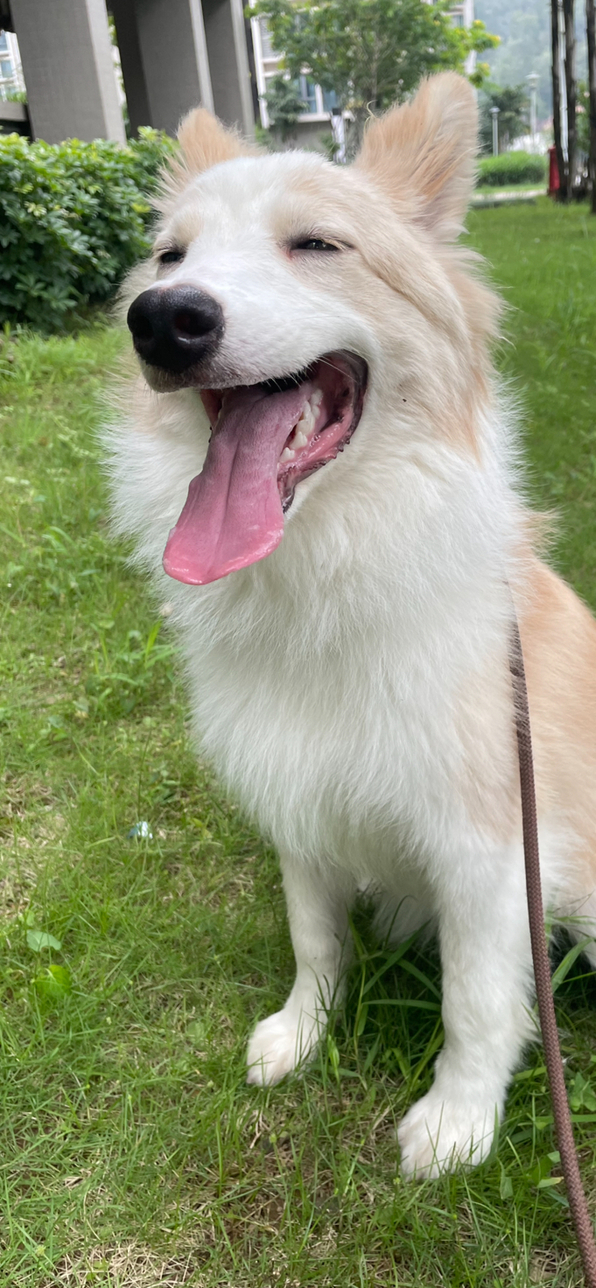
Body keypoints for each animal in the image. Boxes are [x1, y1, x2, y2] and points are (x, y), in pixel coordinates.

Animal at [105, 73, 596, 1178]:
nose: (163, 321)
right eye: (170, 258)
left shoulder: (488, 846)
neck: (323, 576)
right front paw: (302, 1031)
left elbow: (474, 999)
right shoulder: (298, 799)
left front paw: (457, 1121)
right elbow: (314, 937)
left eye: (317, 245)